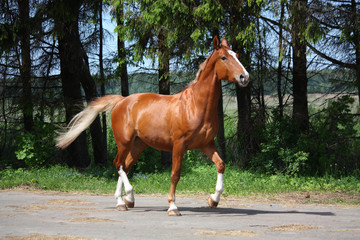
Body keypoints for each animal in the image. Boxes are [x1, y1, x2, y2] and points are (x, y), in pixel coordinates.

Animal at [56, 36, 250, 217]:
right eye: (224, 57)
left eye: (237, 55)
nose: (245, 77)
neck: (195, 106)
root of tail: (121, 101)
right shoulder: (179, 145)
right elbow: (175, 174)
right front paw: (173, 207)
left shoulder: (206, 144)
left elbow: (220, 165)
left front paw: (213, 200)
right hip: (124, 142)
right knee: (118, 164)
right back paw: (127, 197)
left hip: (138, 144)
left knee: (124, 165)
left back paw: (124, 202)